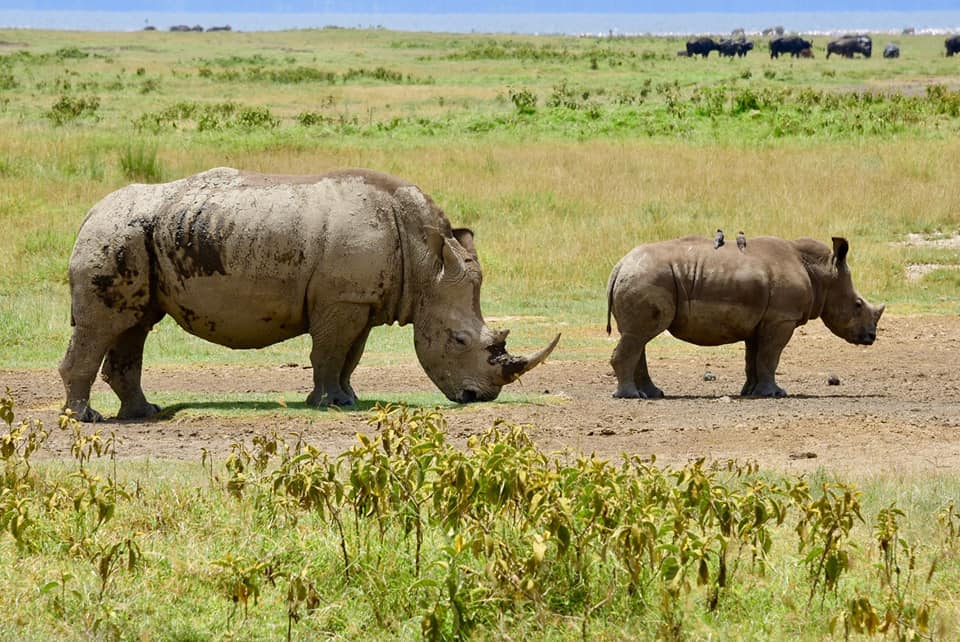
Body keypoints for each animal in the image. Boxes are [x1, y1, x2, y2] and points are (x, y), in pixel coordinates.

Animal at [60, 167, 560, 422]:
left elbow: (349, 356)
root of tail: (90, 211)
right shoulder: (342, 300)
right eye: (458, 340)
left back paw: (144, 413)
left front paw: (347, 399)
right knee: (103, 325)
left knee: (134, 324)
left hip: (138, 234)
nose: (480, 397)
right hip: (116, 233)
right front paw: (327, 404)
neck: (427, 265)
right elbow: (329, 351)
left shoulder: (362, 299)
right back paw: (86, 419)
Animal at [605, 236, 883, 399]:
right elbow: (770, 357)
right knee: (639, 335)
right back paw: (631, 396)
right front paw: (776, 394)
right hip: (648, 277)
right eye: (858, 305)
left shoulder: (761, 320)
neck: (823, 274)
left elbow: (754, 358)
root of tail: (619, 266)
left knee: (637, 336)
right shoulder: (782, 318)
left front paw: (751, 392)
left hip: (641, 276)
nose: (871, 336)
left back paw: (653, 394)